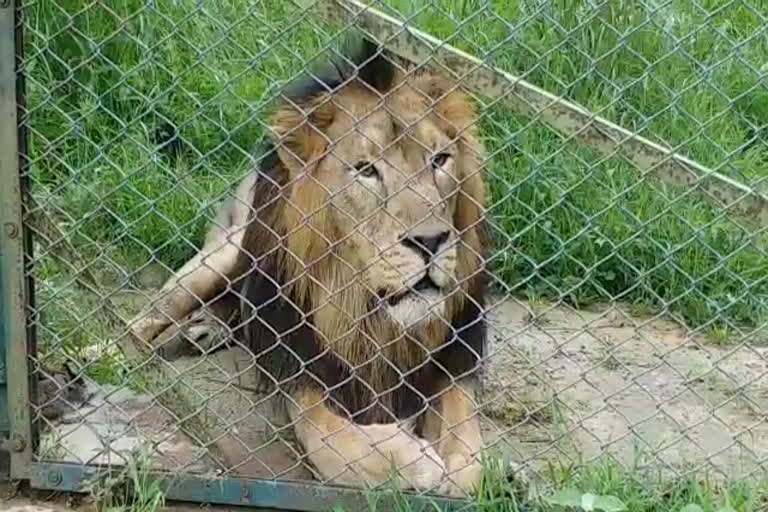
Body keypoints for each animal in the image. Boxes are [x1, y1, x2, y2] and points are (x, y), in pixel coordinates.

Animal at [128, 39, 492, 496]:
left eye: (440, 160)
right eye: (366, 170)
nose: (430, 242)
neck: (367, 314)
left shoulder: (454, 359)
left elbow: (468, 451)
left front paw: (451, 466)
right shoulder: (299, 369)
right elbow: (331, 441)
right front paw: (412, 460)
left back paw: (210, 328)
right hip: (222, 256)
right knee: (140, 324)